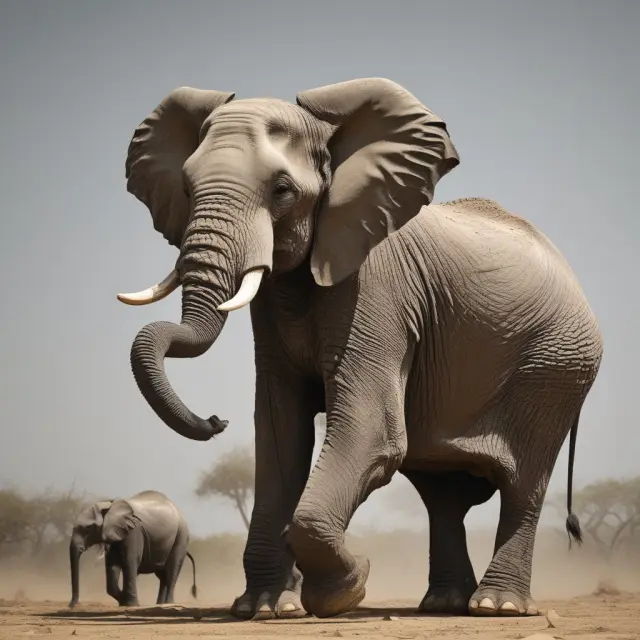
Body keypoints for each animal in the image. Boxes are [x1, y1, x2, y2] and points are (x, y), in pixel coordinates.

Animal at [68, 490, 197, 608]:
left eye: (88, 528)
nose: (71, 605)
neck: (110, 505)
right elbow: (112, 567)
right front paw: (123, 602)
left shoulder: (134, 532)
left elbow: (129, 562)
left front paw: (131, 604)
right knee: (162, 575)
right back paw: (159, 604)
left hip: (181, 536)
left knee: (172, 570)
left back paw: (168, 603)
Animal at [116, 78, 603, 620]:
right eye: (185, 188)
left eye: (282, 190)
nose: (216, 421)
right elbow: (280, 435)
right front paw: (263, 608)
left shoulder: (376, 290)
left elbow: (371, 433)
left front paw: (344, 591)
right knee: (442, 494)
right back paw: (443, 603)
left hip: (557, 365)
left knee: (523, 484)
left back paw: (497, 607)